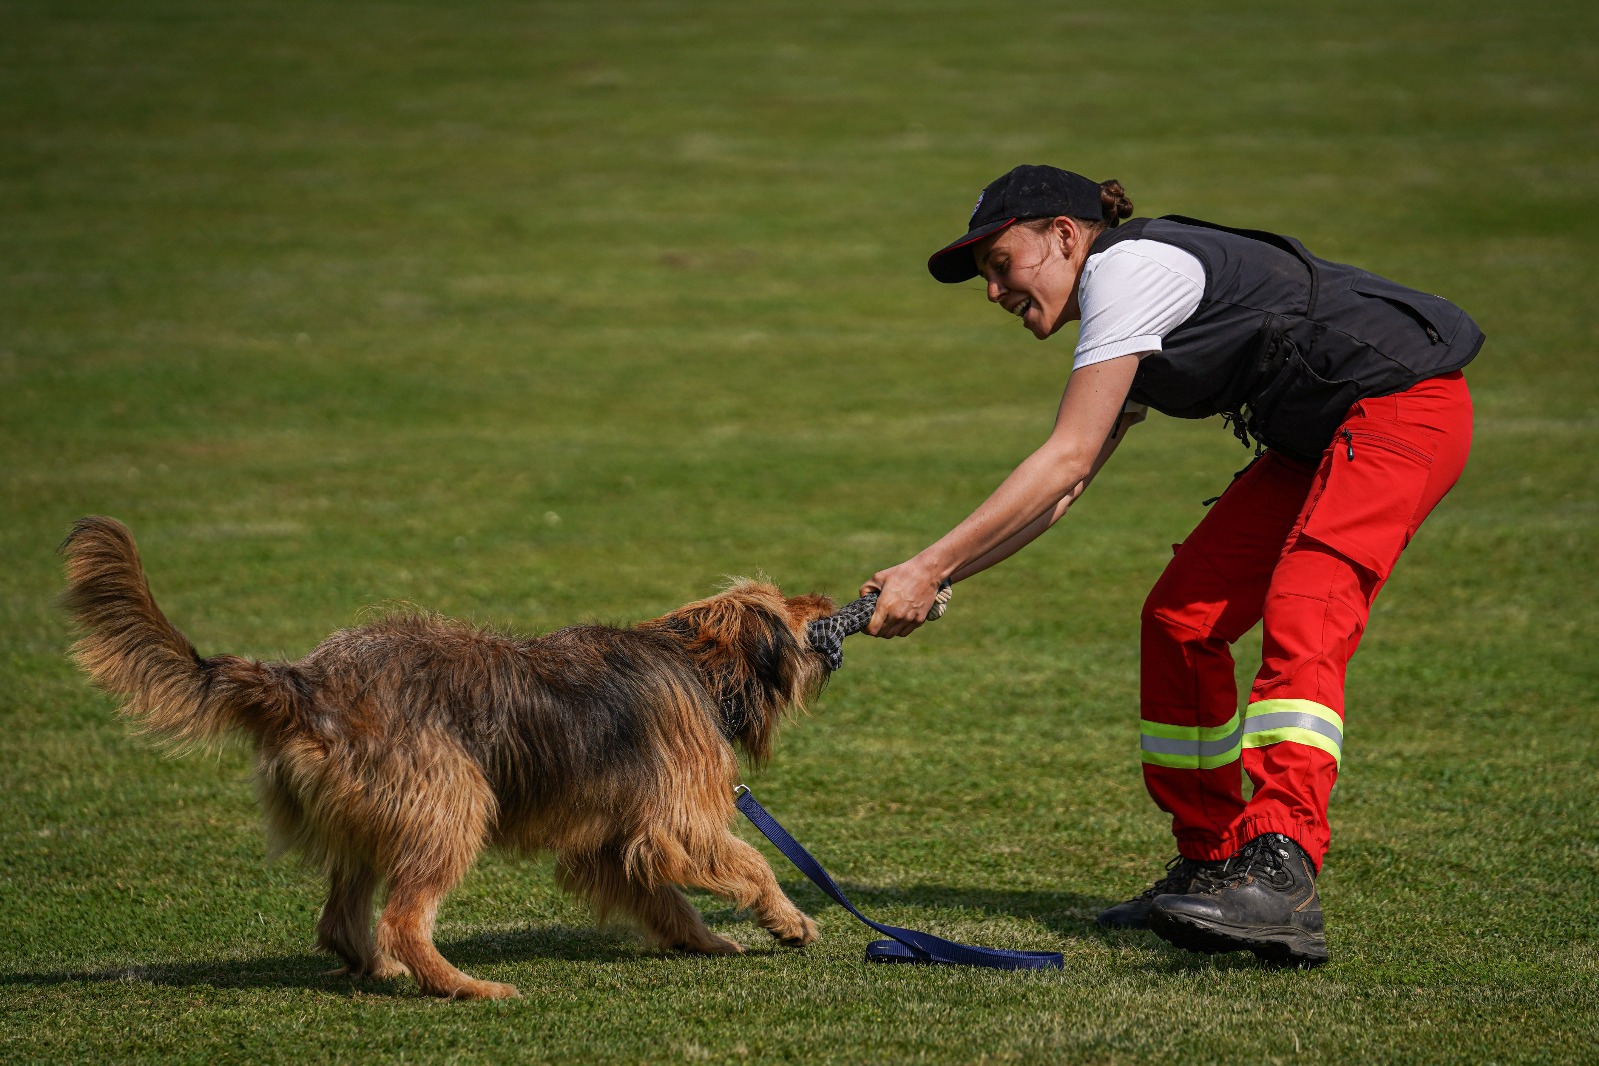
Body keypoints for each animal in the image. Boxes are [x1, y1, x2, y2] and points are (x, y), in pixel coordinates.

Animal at [60, 516, 837, 1000]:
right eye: (786, 603)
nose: (832, 594)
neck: (698, 664)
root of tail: (305, 681)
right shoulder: (677, 820)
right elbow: (751, 859)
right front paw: (788, 919)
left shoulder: (610, 839)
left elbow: (663, 897)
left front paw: (705, 941)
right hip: (452, 803)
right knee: (403, 920)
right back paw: (462, 985)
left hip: (378, 813)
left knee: (342, 918)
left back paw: (382, 969)